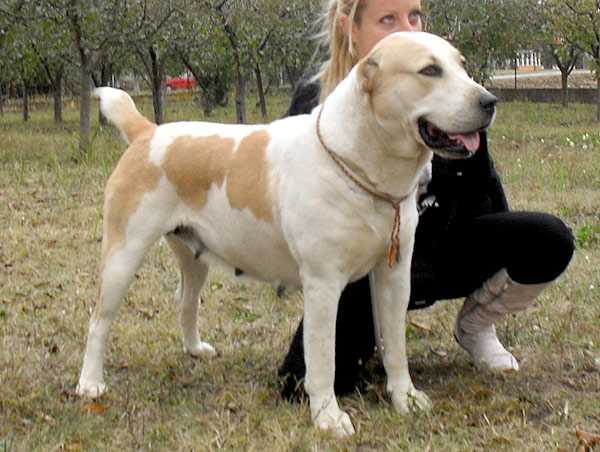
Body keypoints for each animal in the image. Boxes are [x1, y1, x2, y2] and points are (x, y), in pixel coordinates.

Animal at [76, 32, 496, 438]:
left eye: (461, 65)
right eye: (430, 70)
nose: (490, 101)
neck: (358, 164)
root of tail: (148, 132)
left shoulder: (394, 277)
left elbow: (395, 346)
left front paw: (404, 397)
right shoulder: (324, 285)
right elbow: (323, 359)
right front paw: (328, 417)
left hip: (194, 256)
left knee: (185, 300)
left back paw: (194, 349)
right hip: (123, 255)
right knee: (99, 320)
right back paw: (90, 383)